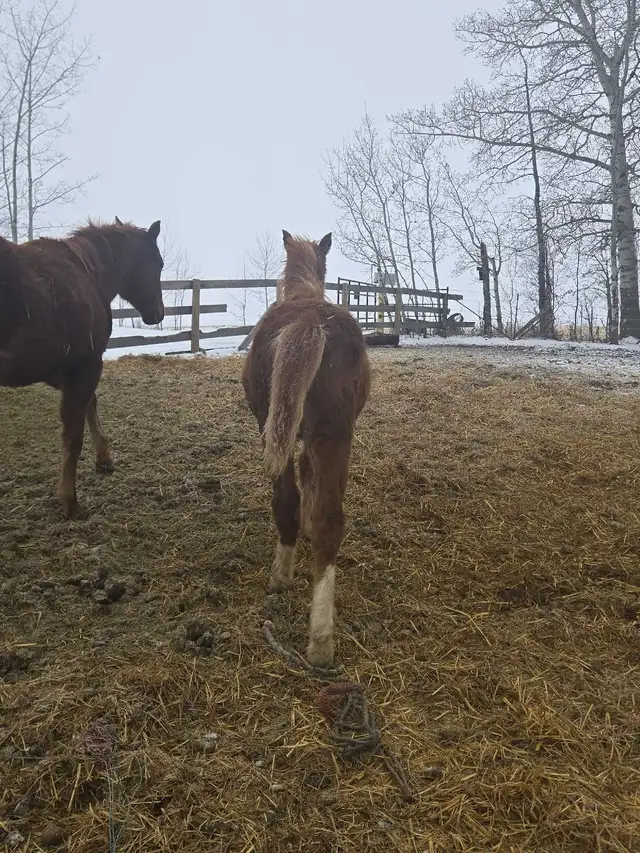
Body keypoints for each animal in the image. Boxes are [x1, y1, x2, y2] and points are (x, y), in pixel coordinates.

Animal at [0, 218, 165, 519]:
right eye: (158, 263)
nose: (158, 313)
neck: (87, 274)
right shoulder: (86, 366)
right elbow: (73, 435)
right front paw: (70, 501)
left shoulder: (62, 371)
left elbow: (91, 405)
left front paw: (104, 459)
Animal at [243, 230, 371, 667]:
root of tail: (308, 323)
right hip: (334, 437)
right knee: (329, 520)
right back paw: (320, 640)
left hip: (279, 431)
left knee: (286, 500)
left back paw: (282, 580)